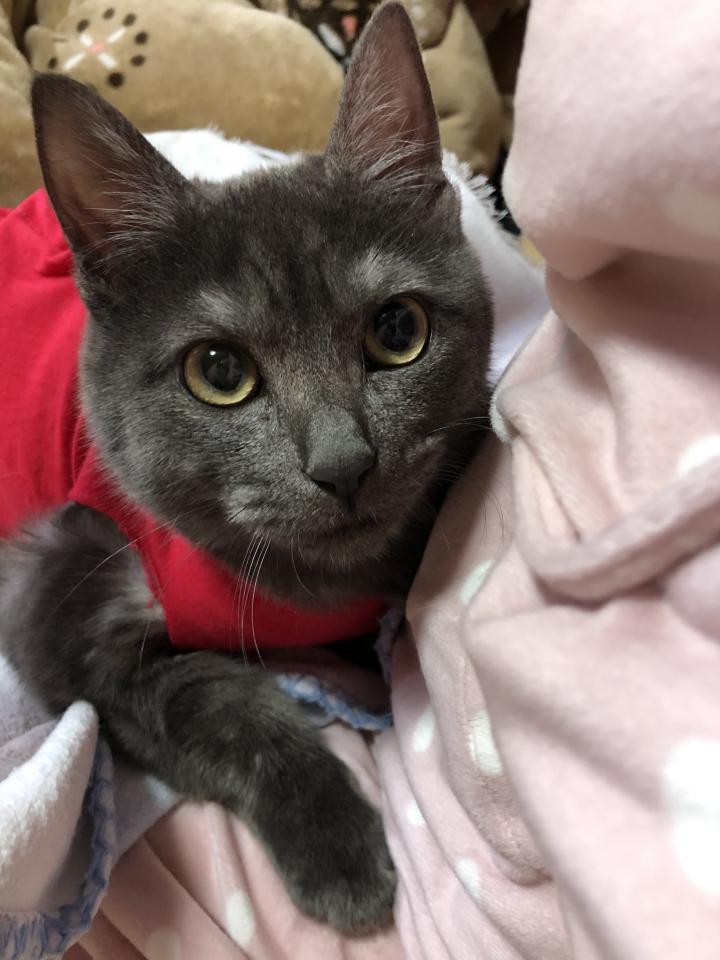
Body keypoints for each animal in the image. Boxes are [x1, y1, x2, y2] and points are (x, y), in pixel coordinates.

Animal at [0, 2, 492, 934]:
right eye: (218, 371)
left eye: (398, 330)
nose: (345, 463)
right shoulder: (60, 608)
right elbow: (220, 700)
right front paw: (341, 851)